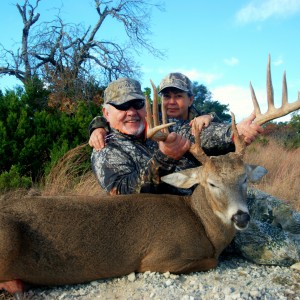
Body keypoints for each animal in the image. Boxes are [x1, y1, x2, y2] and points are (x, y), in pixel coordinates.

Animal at [0, 56, 298, 300]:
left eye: (244, 178)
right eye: (211, 183)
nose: (241, 217)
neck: (203, 225)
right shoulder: (160, 258)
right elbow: (210, 262)